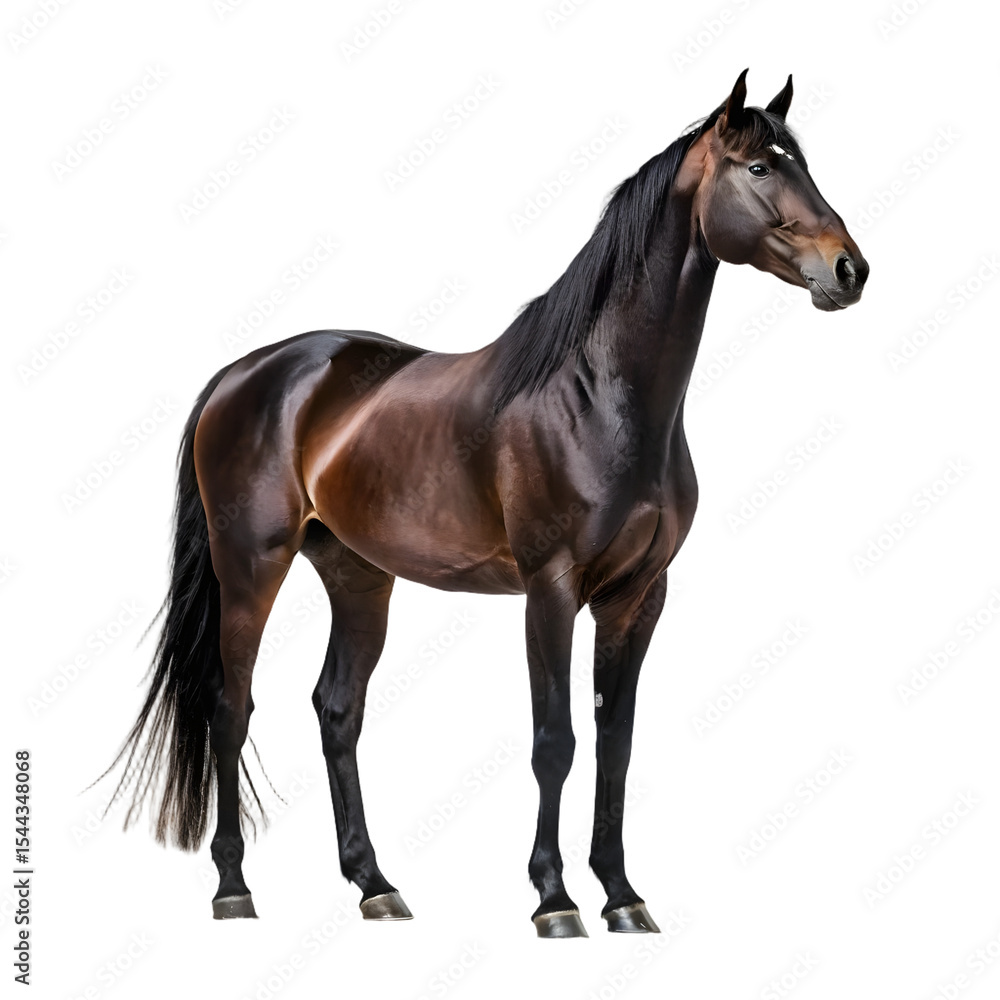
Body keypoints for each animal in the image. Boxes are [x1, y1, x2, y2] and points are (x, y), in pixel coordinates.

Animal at [105, 69, 868, 938]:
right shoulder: (551, 588)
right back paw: (234, 888)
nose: (848, 270)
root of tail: (243, 374)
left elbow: (615, 742)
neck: (600, 398)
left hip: (358, 575)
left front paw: (623, 895)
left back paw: (374, 885)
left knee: (337, 708)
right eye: (760, 168)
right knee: (231, 709)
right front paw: (555, 898)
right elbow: (555, 740)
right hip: (251, 568)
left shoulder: (638, 596)